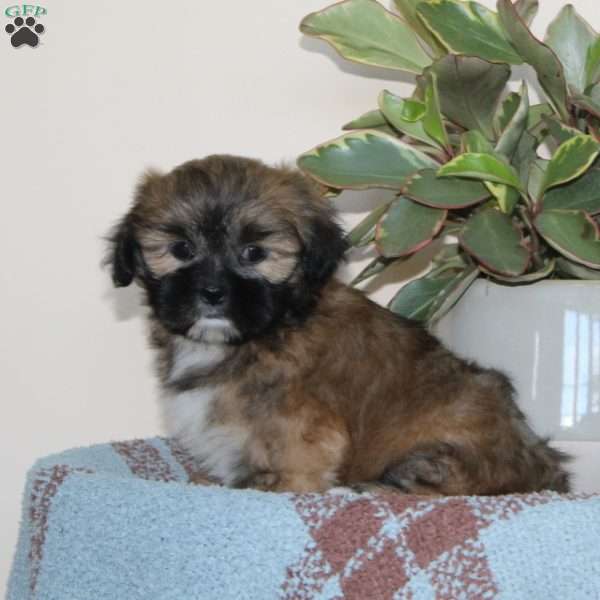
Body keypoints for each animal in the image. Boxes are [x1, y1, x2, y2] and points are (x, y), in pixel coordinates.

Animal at [108, 157, 572, 494]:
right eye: (181, 249)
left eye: (255, 252)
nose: (212, 292)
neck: (267, 330)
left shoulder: (302, 431)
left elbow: (293, 471)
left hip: (431, 457)